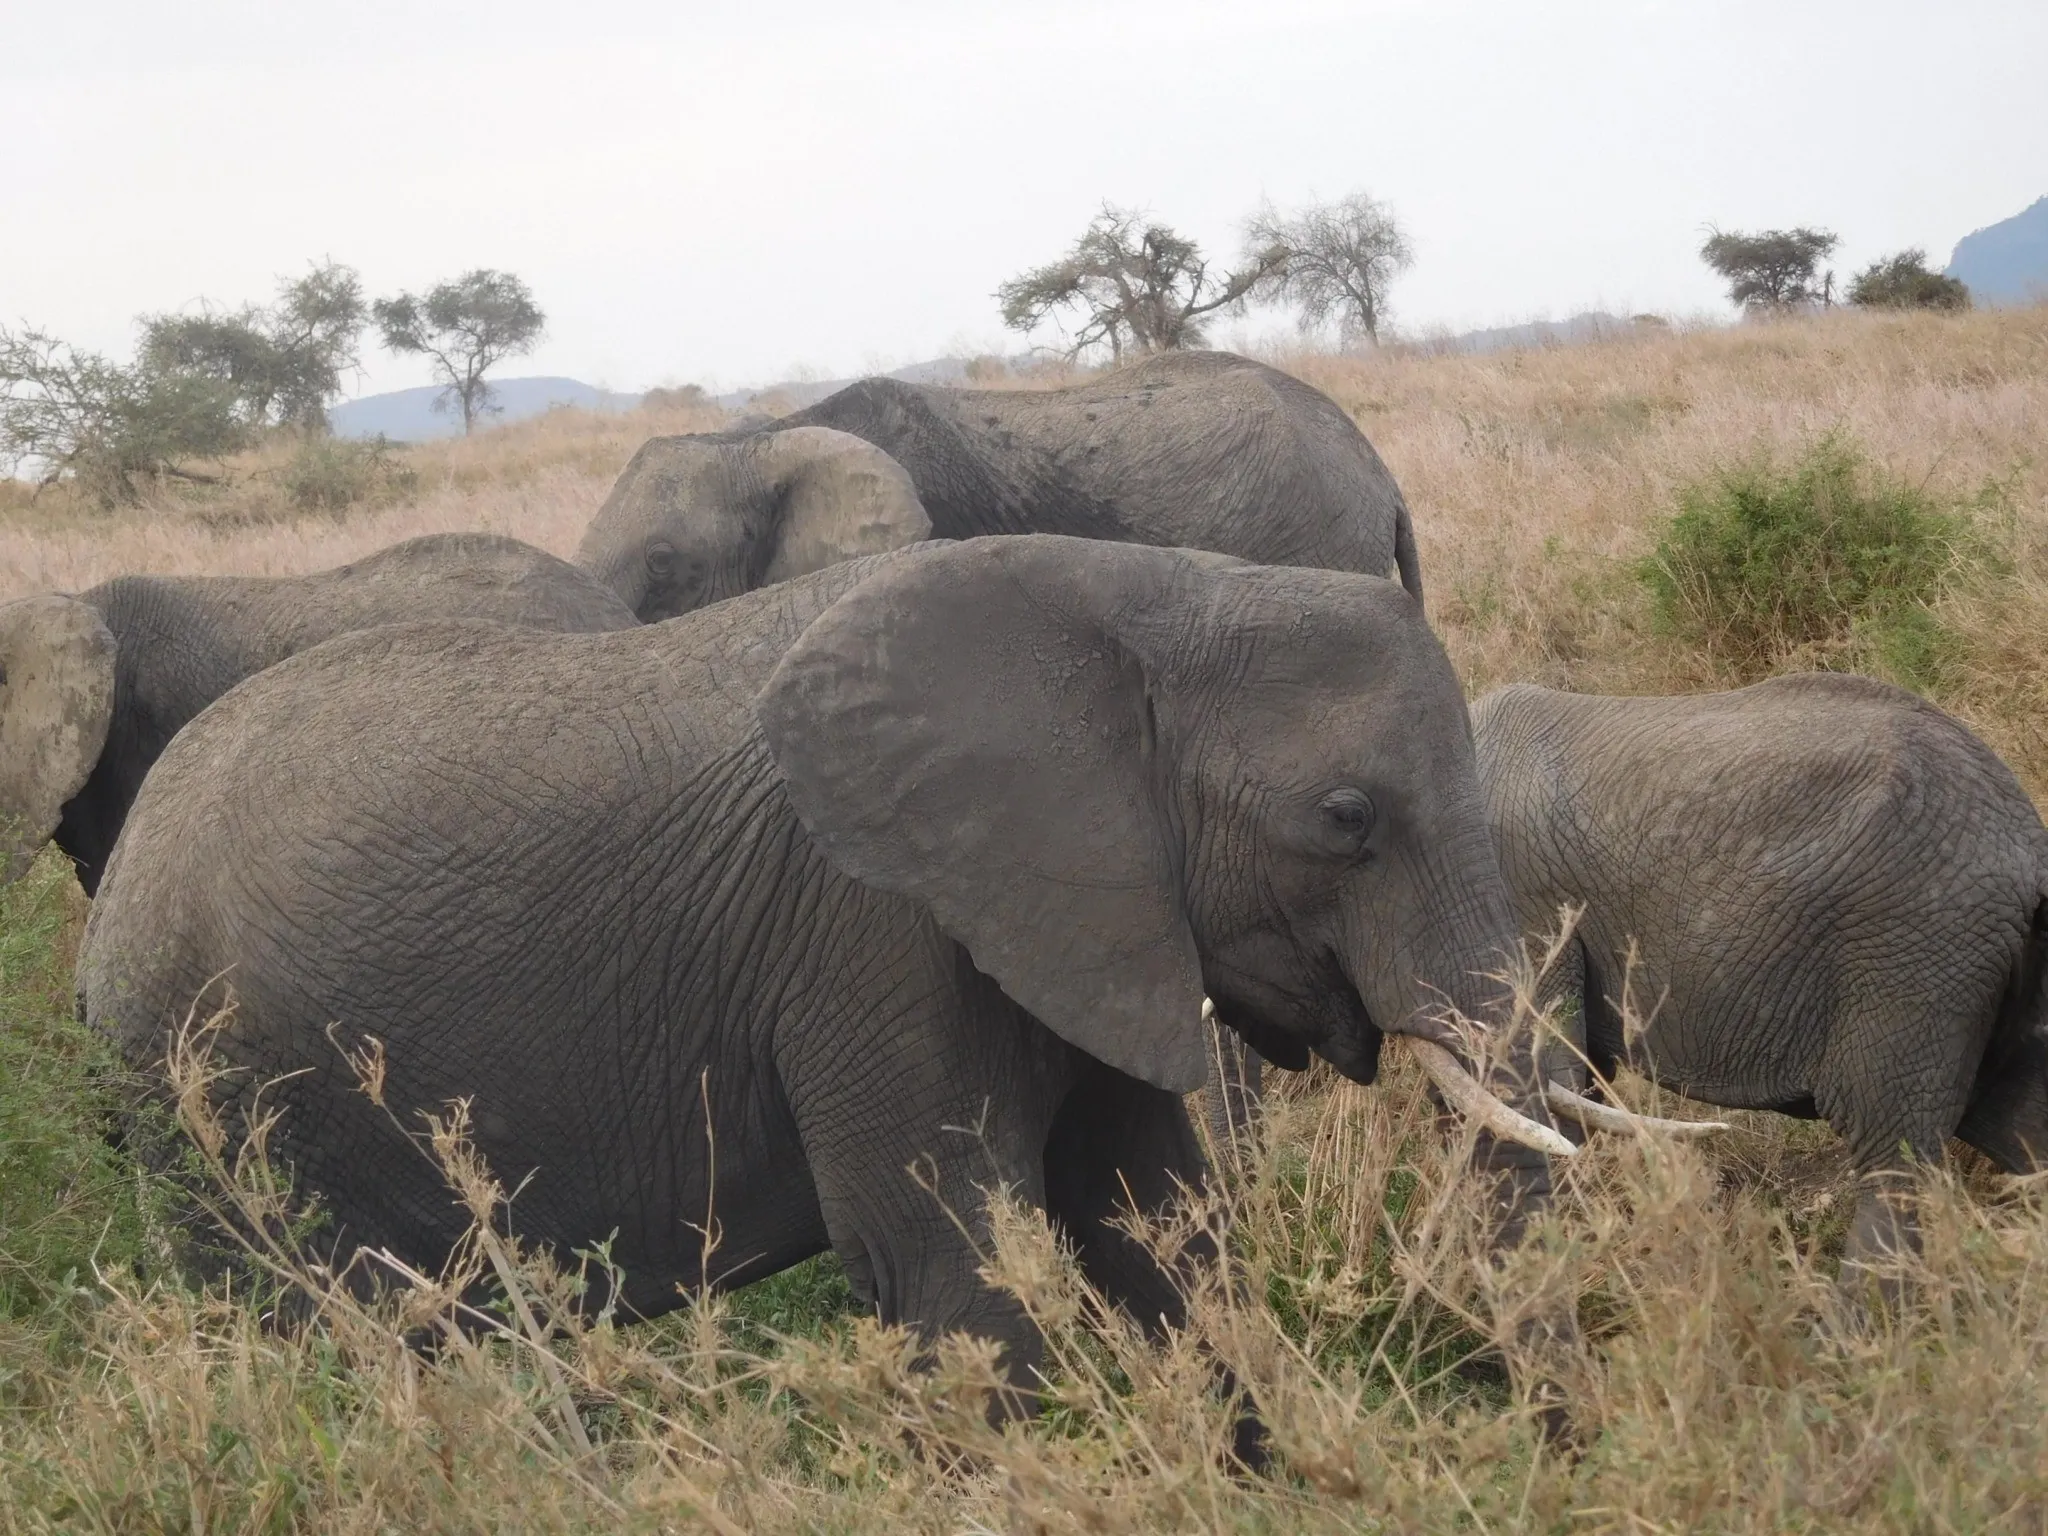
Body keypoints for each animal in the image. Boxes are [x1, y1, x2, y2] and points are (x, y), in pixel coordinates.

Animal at [79, 536, 1566, 1428]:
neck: (1133, 596)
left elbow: (1155, 1227)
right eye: (1347, 818)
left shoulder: (1078, 913)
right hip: (204, 1086)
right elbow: (948, 1266)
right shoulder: (874, 928)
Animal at [1469, 673, 2048, 1281]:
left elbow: (1549, 1069)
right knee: (2019, 1124)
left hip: (1918, 953)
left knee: (1894, 1159)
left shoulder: (1529, 901)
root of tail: (2032, 850)